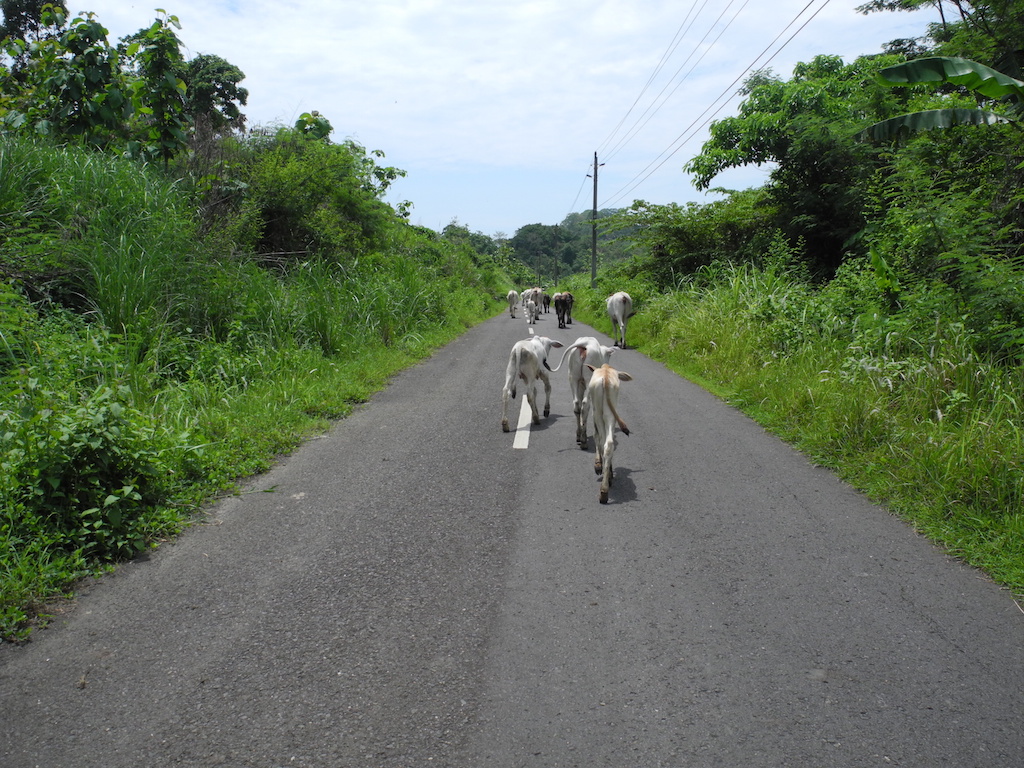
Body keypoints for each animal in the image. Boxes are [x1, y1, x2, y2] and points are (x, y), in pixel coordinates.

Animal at [586, 363, 633, 503]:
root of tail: (606, 378)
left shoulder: (594, 414)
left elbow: (596, 436)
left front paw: (598, 465)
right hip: (610, 414)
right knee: (609, 444)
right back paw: (607, 483)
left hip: (598, 413)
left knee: (601, 440)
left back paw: (603, 489)